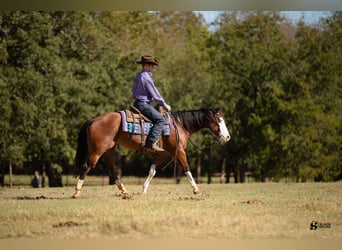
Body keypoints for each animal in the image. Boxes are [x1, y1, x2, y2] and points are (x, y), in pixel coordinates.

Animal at [73, 107, 231, 197]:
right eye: (219, 120)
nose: (227, 137)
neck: (179, 125)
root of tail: (93, 120)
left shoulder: (161, 154)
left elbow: (152, 171)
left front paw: (143, 189)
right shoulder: (179, 151)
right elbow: (186, 168)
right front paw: (196, 189)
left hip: (108, 151)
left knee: (111, 170)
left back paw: (124, 191)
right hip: (97, 151)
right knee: (86, 167)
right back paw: (77, 191)